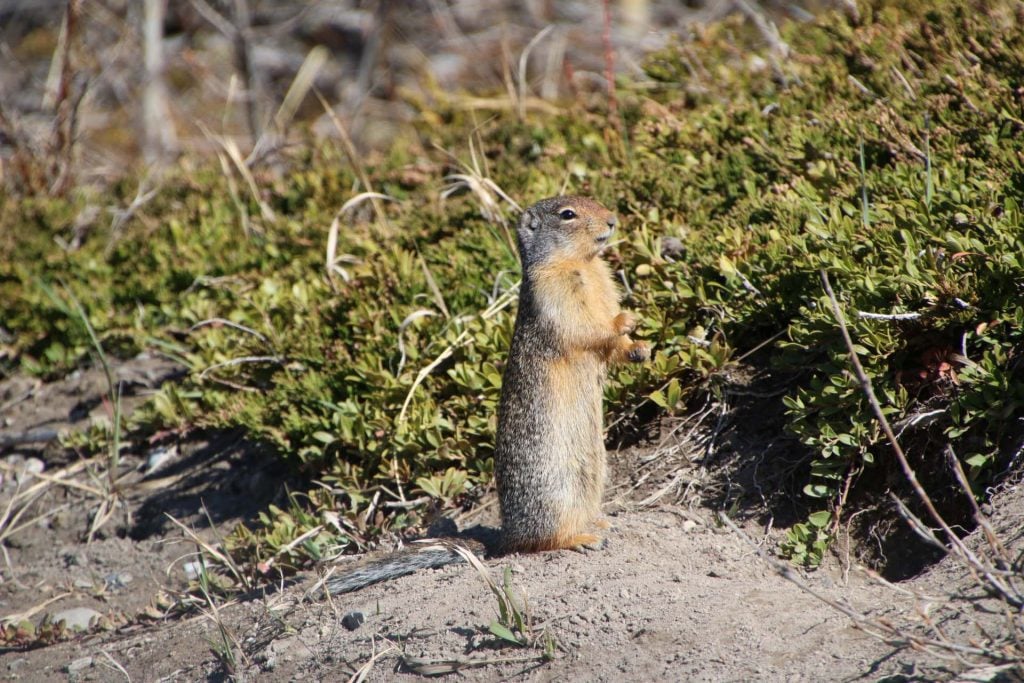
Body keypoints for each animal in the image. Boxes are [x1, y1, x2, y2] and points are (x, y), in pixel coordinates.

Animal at [321, 194, 647, 593]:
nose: (613, 220)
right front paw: (624, 322)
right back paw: (582, 538)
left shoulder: (603, 285)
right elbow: (585, 328)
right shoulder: (554, 296)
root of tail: (507, 535)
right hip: (554, 494)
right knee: (541, 541)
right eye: (567, 214)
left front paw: (639, 346)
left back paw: (598, 522)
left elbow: (611, 344)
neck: (583, 265)